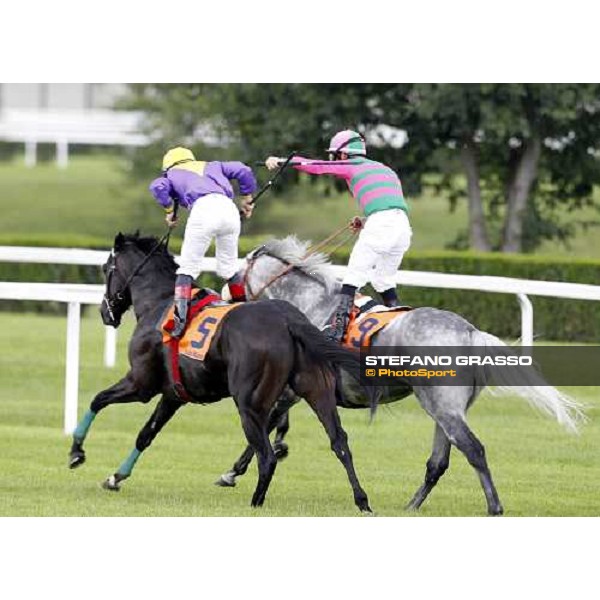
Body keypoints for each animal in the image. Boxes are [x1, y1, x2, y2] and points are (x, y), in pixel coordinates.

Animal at [68, 233, 372, 510]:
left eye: (106, 268)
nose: (105, 312)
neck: (160, 303)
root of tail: (289, 319)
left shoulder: (141, 384)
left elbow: (98, 399)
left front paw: (76, 452)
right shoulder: (173, 395)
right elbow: (146, 434)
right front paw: (116, 477)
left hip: (250, 404)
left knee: (267, 456)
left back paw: (255, 502)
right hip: (317, 390)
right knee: (339, 442)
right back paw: (362, 500)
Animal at [217, 236, 584, 516]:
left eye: (233, 276)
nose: (222, 299)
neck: (312, 304)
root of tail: (470, 331)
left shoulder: (297, 390)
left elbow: (264, 426)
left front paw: (234, 471)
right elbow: (270, 426)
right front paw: (243, 467)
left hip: (444, 407)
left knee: (473, 449)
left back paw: (494, 507)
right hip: (443, 408)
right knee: (438, 462)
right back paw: (411, 507)